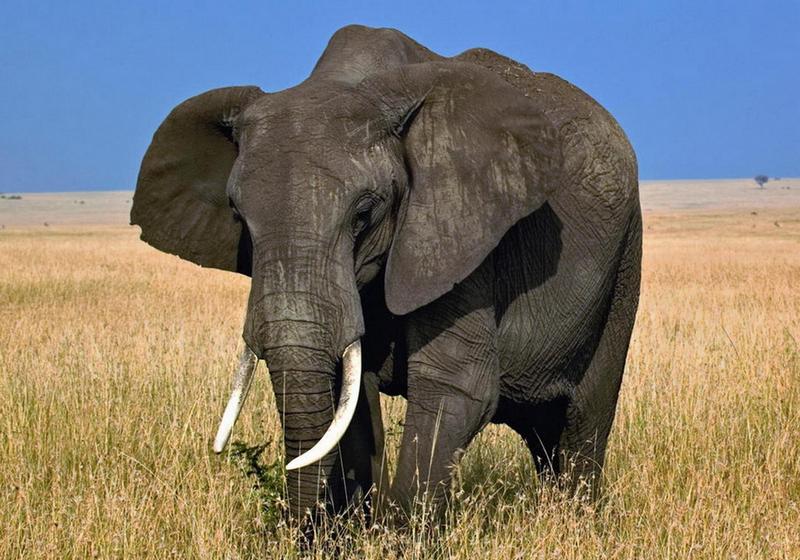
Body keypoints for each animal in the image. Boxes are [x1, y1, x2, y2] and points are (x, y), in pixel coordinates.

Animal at [131, 24, 641, 523]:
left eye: (364, 214)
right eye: (238, 216)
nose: (300, 528)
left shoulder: (458, 228)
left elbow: (455, 384)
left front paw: (398, 533)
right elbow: (351, 396)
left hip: (624, 263)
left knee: (581, 423)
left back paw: (575, 521)